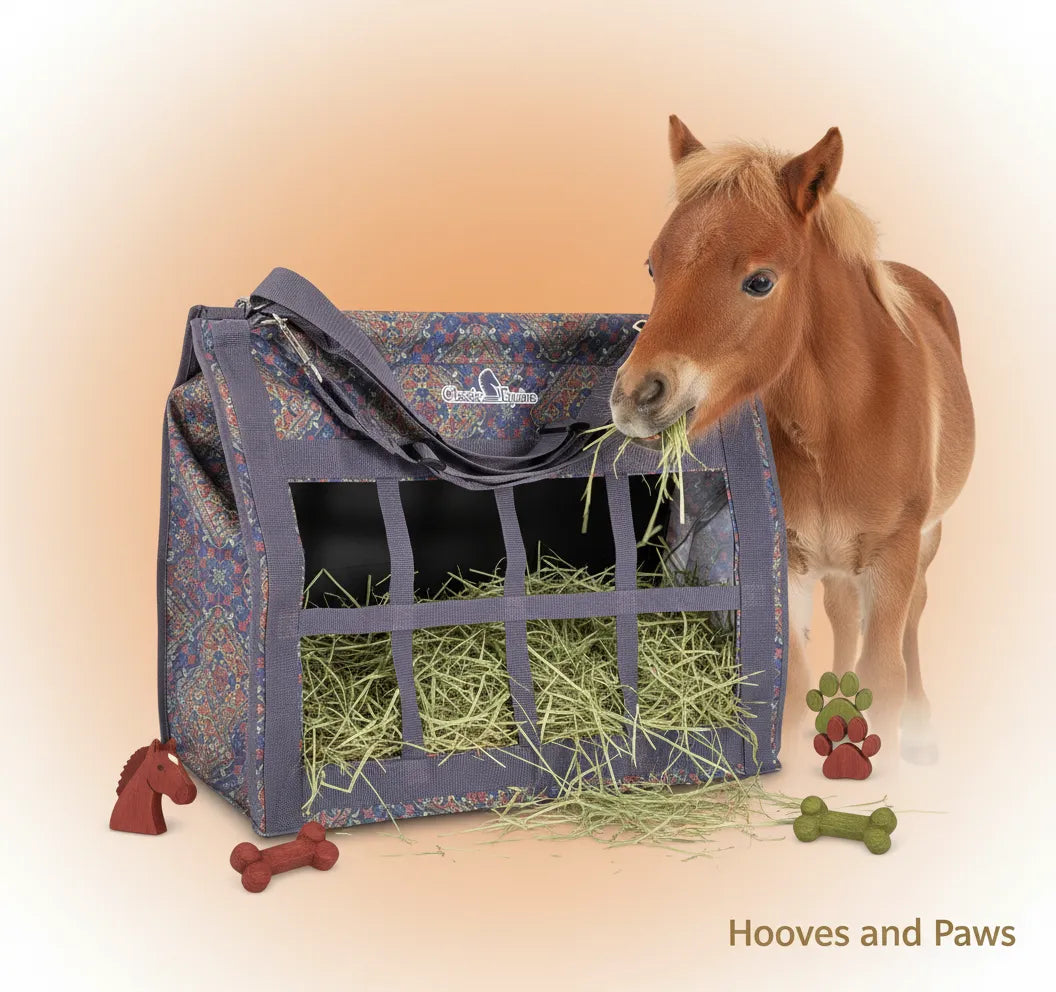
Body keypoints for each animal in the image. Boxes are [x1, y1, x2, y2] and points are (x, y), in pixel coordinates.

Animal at [610, 117, 974, 762]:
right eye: (653, 267)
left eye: (760, 282)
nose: (634, 398)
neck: (838, 429)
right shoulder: (794, 558)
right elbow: (796, 676)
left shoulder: (894, 555)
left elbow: (886, 673)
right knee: (842, 614)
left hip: (927, 538)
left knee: (915, 614)